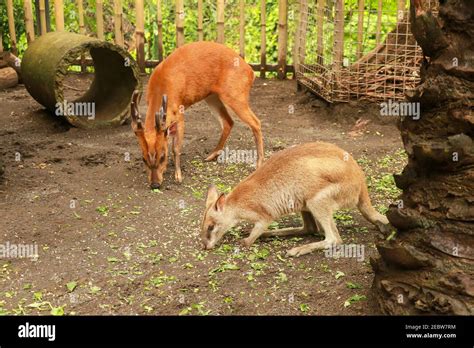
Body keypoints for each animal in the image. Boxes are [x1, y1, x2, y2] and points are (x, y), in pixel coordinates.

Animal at [130, 41, 262, 190]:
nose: (155, 184)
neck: (161, 88)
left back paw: (259, 164)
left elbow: (176, 148)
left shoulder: (179, 113)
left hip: (236, 93)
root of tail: (251, 72)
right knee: (228, 121)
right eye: (143, 158)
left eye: (163, 156)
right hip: (212, 96)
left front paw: (178, 176)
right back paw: (211, 155)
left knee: (255, 122)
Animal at [200, 143, 388, 256]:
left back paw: (295, 250)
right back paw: (274, 235)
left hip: (319, 198)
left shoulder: (262, 214)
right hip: (304, 201)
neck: (234, 205)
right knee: (310, 229)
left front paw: (245, 242)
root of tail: (361, 183)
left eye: (210, 227)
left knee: (334, 239)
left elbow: (260, 227)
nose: (205, 246)